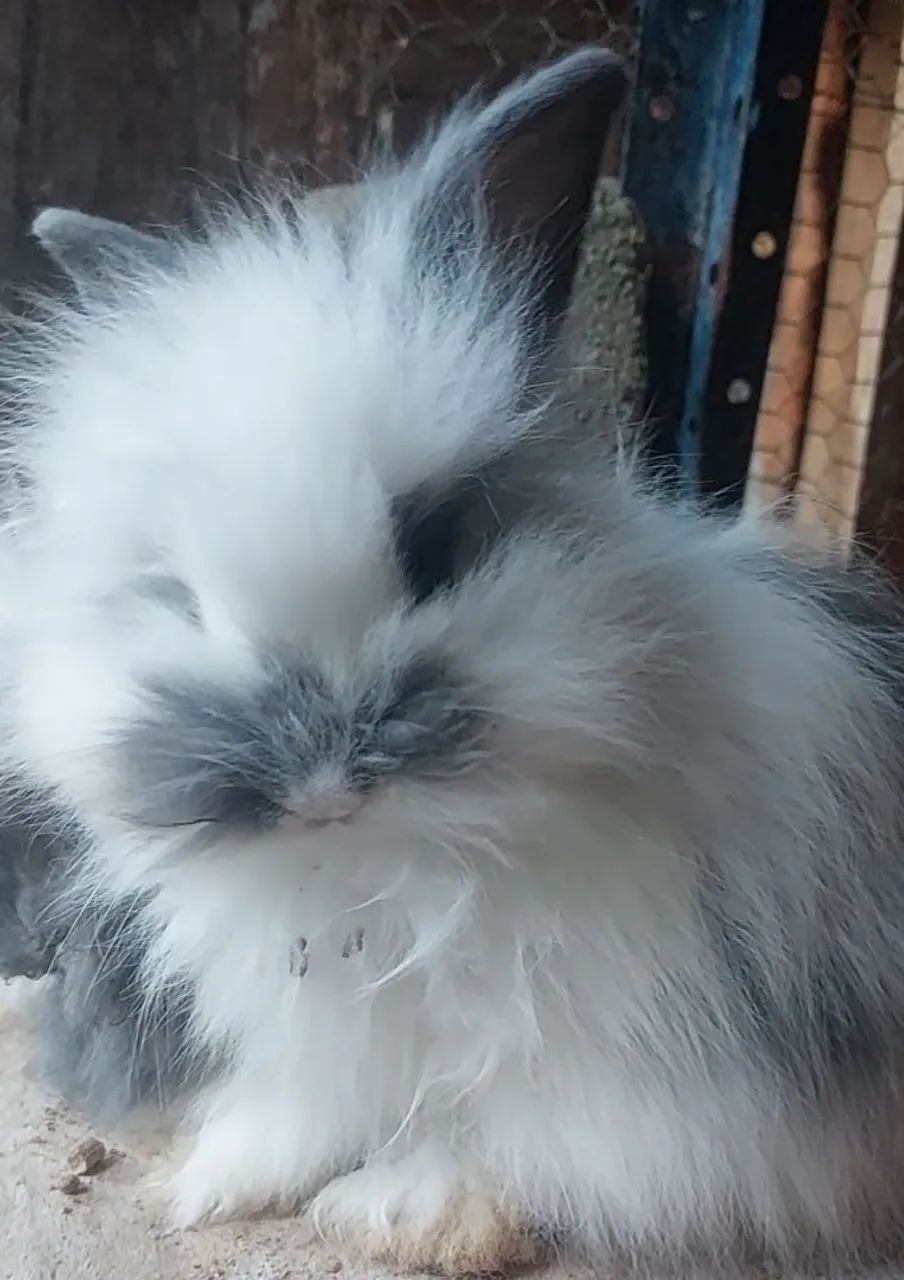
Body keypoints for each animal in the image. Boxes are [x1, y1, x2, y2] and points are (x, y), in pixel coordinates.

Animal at [4, 43, 904, 1276]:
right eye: (175, 590)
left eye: (437, 547)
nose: (318, 786)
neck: (389, 868)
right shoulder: (324, 1013)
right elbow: (313, 1098)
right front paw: (222, 1179)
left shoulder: (636, 1043)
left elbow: (551, 1131)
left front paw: (402, 1206)